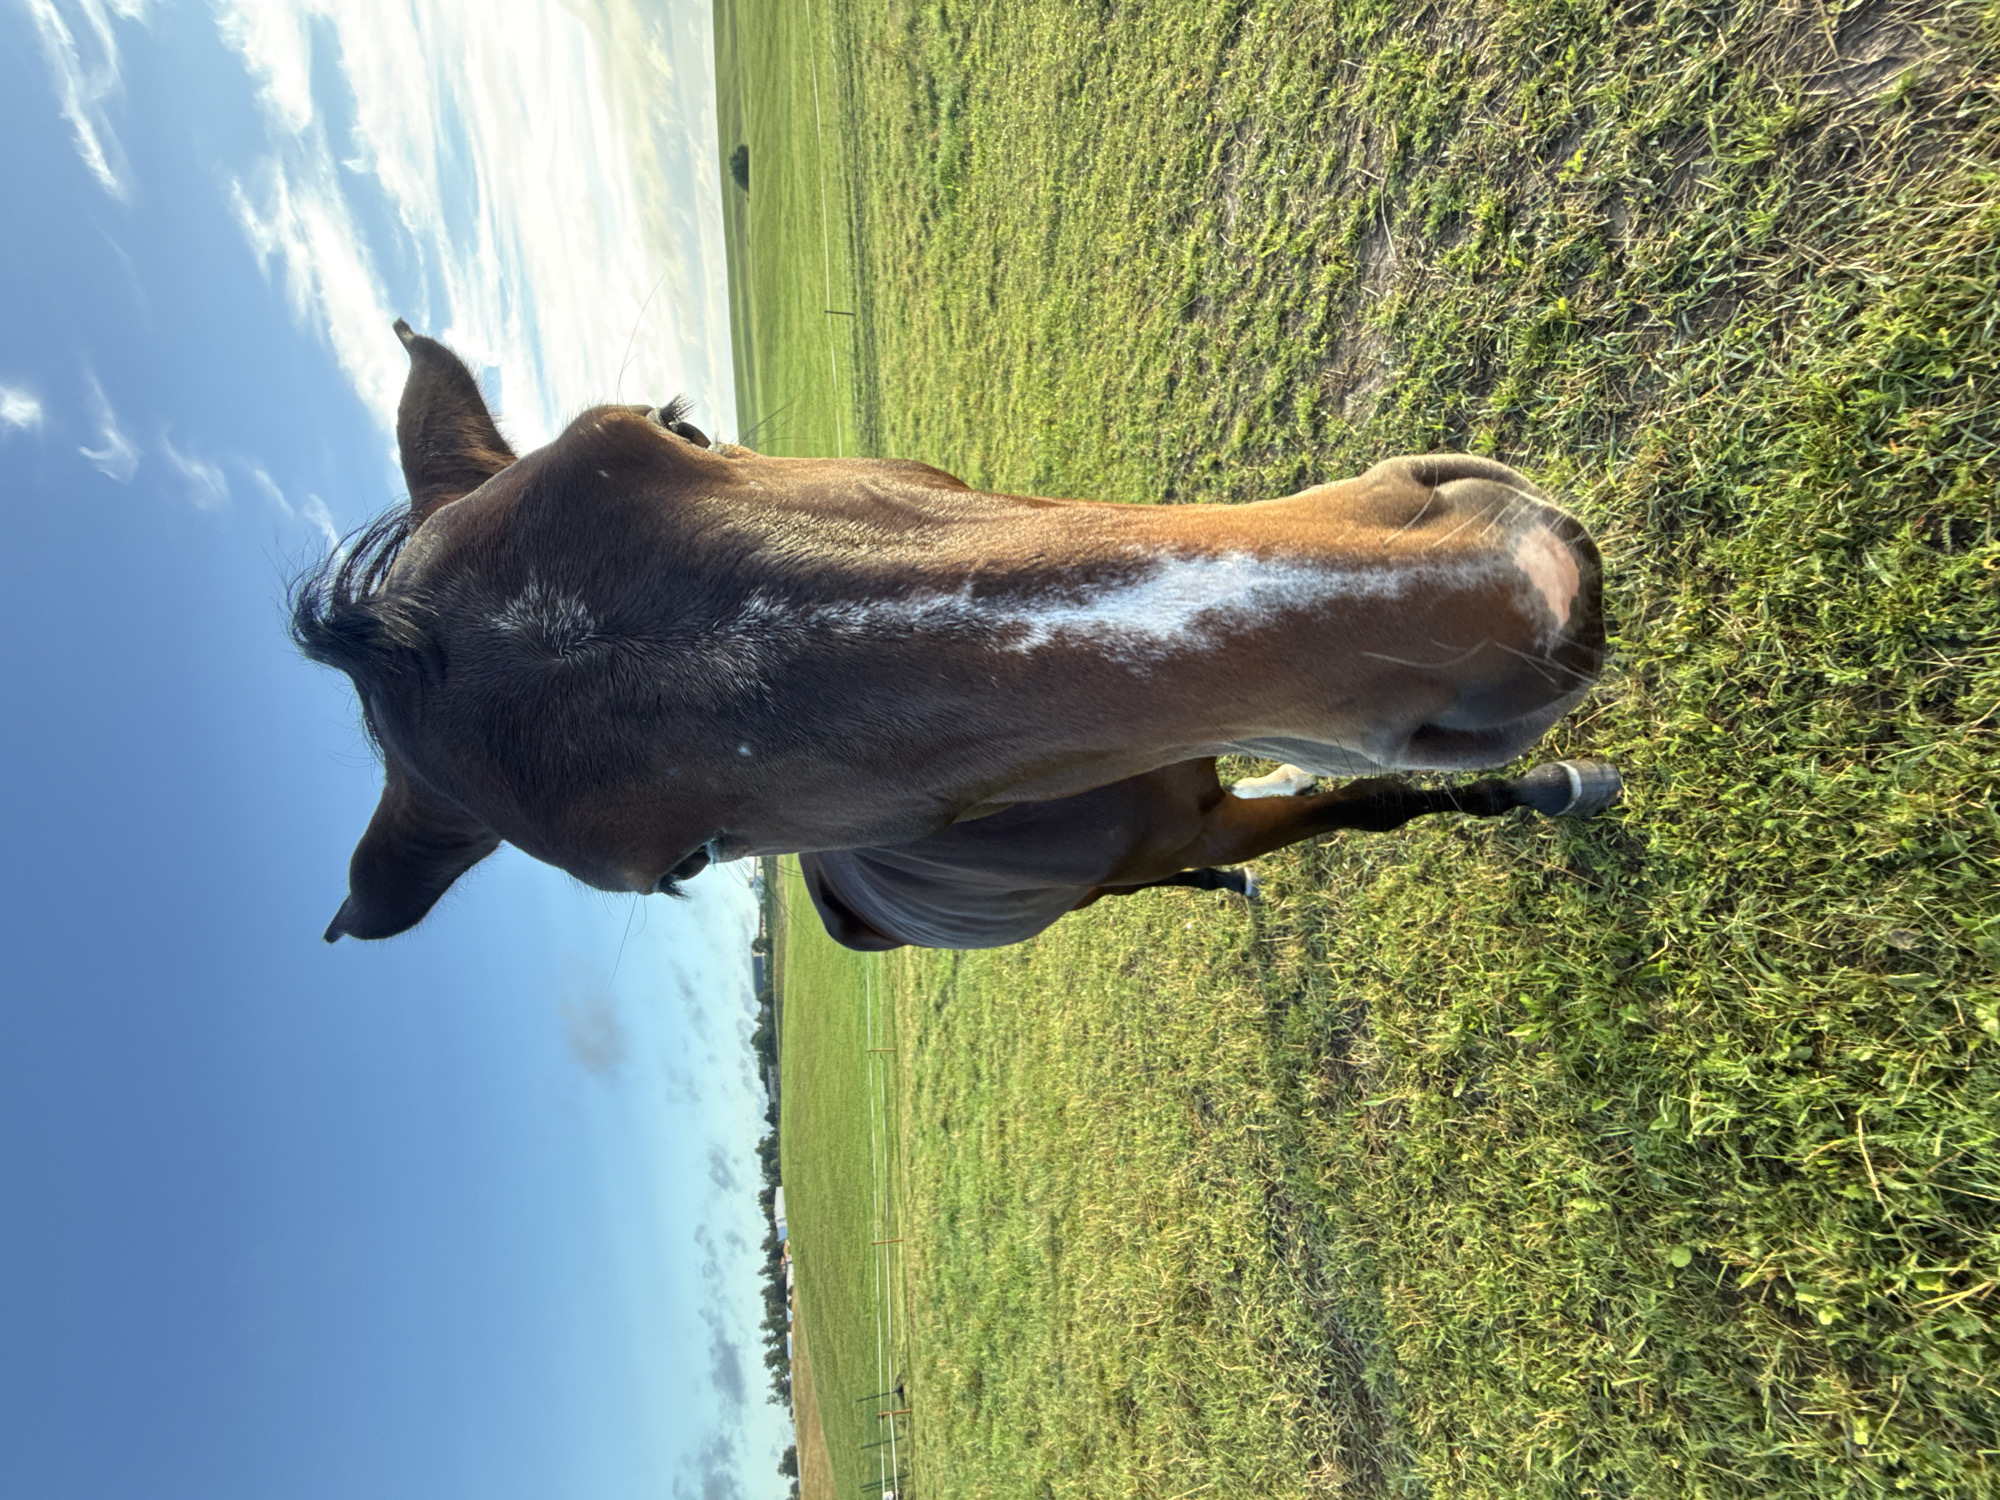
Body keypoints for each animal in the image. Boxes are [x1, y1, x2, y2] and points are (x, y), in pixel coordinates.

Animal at [293, 322, 1609, 942]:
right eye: (688, 865)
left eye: (677, 426)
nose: (1487, 590)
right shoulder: (1201, 814)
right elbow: (1369, 807)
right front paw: (1547, 789)